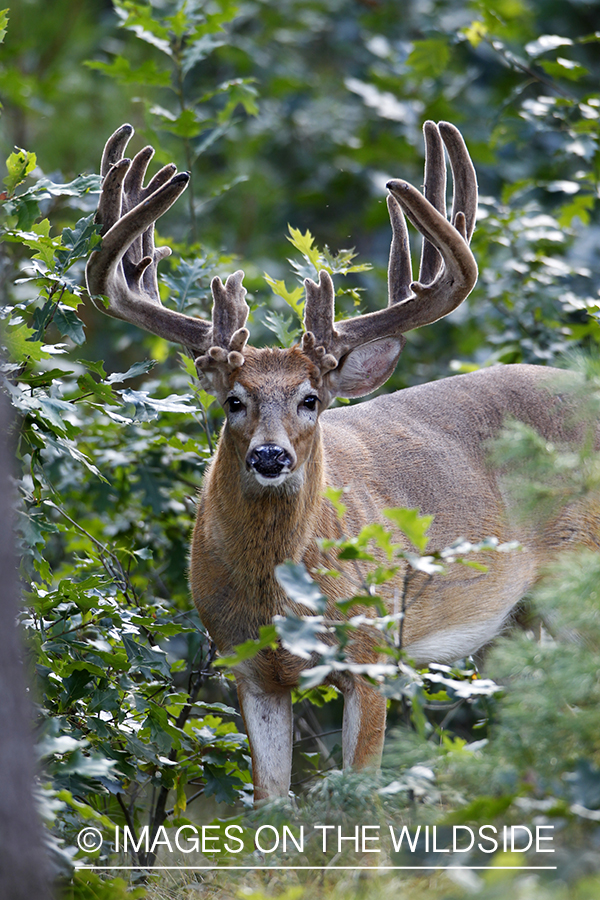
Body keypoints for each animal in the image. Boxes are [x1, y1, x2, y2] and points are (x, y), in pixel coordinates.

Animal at [86, 121, 596, 800]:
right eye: (233, 400)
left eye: (311, 399)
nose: (269, 455)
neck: (281, 596)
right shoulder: (247, 668)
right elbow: (270, 804)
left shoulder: (372, 649)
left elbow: (361, 795)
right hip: (509, 628)